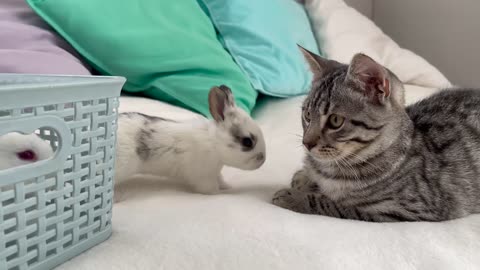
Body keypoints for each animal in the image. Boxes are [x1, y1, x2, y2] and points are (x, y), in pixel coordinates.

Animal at [116, 85, 266, 194]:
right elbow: (211, 189)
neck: (214, 143)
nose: (263, 160)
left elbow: (221, 180)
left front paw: (227, 187)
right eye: (247, 142)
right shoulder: (204, 177)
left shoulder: (215, 173)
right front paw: (219, 193)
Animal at [270, 46, 480, 223]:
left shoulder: (405, 212)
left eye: (335, 120)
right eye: (307, 115)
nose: (307, 143)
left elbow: (339, 207)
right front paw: (303, 177)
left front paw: (295, 198)